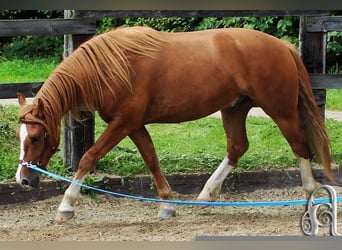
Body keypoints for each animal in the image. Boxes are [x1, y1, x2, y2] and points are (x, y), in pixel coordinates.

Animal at [15, 26, 334, 222]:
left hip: (280, 111)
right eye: (21, 136)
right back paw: (206, 195)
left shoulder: (123, 123)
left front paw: (66, 206)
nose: (24, 180)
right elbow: (152, 160)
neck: (110, 67)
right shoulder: (134, 125)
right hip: (234, 109)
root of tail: (282, 45)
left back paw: (310, 195)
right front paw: (167, 205)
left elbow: (88, 157)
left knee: (299, 145)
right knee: (237, 147)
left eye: (36, 137)